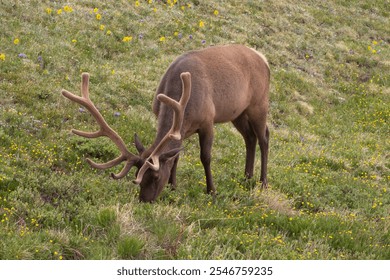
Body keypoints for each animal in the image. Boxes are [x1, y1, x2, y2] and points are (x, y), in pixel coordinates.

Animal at [62, 44, 270, 202]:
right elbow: (175, 156)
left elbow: (205, 157)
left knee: (264, 137)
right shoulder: (179, 128)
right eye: (137, 175)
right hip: (239, 112)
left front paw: (211, 190)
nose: (144, 201)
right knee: (249, 138)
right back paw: (247, 177)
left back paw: (263, 182)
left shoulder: (207, 121)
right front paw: (173, 186)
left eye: (155, 176)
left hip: (259, 104)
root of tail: (264, 59)